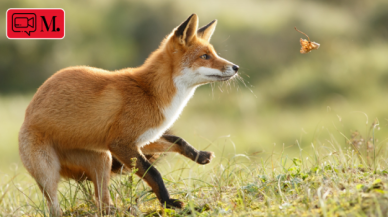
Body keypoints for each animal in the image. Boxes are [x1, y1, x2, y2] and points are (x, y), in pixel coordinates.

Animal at [19, 13, 239, 215]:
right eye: (205, 56)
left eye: (214, 53)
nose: (236, 67)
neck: (150, 93)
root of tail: (27, 114)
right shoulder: (120, 143)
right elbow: (154, 173)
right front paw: (168, 203)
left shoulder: (141, 139)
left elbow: (178, 140)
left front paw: (199, 155)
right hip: (49, 173)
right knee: (54, 208)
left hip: (103, 160)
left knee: (102, 203)